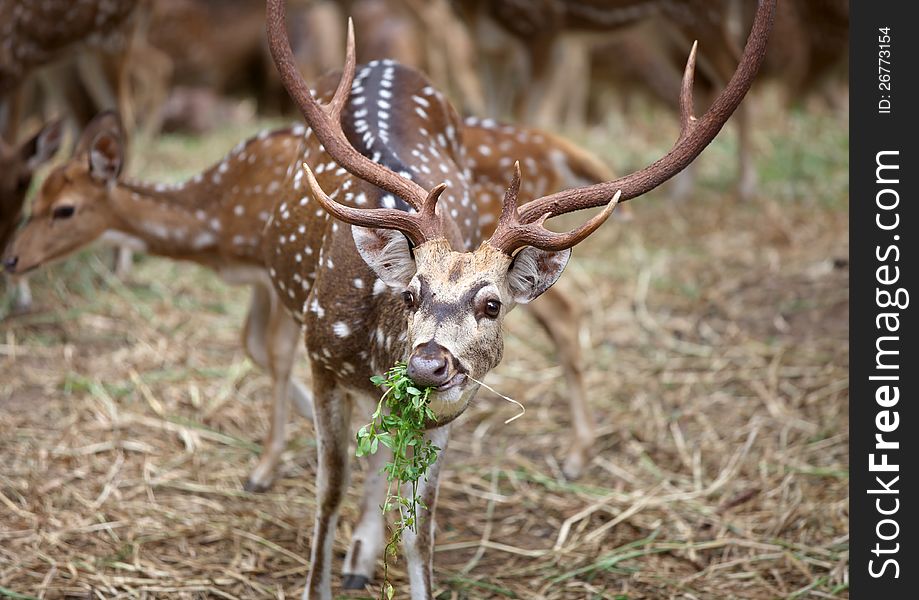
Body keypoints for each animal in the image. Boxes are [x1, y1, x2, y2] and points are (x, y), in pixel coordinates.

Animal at [266, 0, 776, 596]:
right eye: (412, 295)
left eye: (492, 305)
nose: (428, 364)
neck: (370, 341)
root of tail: (389, 60)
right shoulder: (320, 357)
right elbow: (328, 493)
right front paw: (317, 581)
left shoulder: (448, 410)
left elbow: (421, 529)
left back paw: (362, 556)